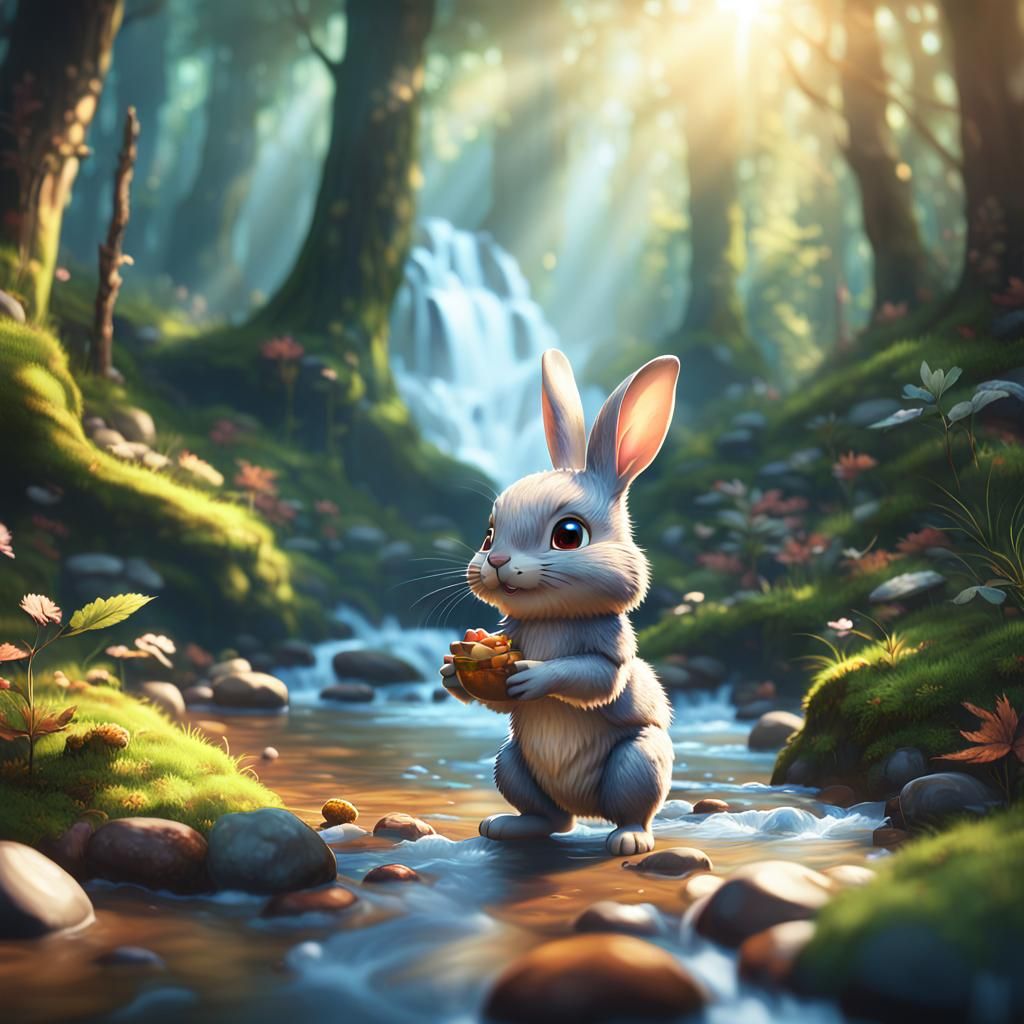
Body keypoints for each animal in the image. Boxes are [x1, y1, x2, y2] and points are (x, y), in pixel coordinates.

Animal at [439, 348, 679, 855]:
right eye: (488, 534)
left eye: (569, 534)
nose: (497, 560)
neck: (553, 618)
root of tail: (586, 810)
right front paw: (452, 669)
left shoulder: (609, 642)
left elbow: (595, 677)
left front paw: (534, 676)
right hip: (511, 763)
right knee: (552, 819)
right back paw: (507, 826)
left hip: (638, 763)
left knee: (631, 810)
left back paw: (628, 839)